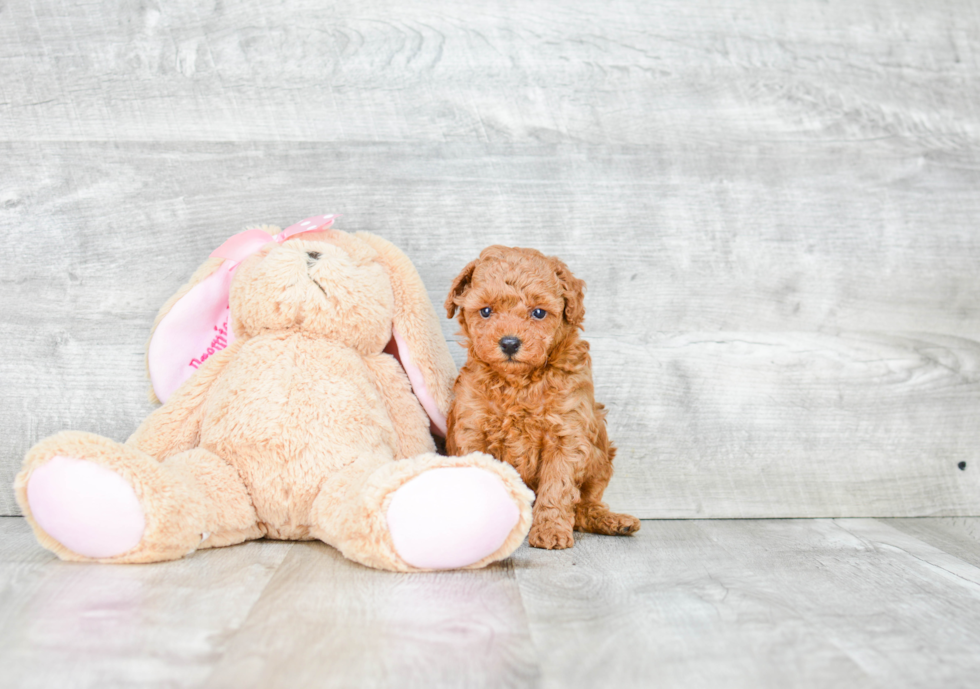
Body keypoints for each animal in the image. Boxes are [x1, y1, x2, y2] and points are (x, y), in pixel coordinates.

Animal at [446, 245, 644, 552]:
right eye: (486, 311)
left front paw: (550, 530)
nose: (509, 343)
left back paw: (613, 521)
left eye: (538, 313)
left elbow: (558, 487)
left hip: (600, 461)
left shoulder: (566, 435)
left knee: (584, 508)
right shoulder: (474, 430)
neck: (518, 382)